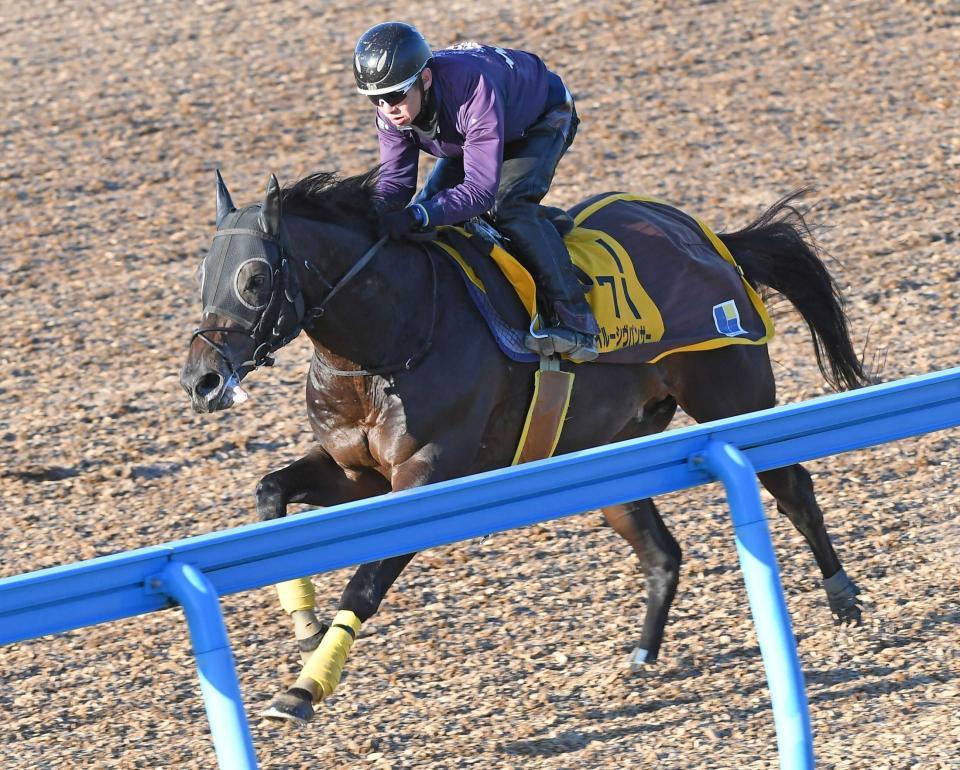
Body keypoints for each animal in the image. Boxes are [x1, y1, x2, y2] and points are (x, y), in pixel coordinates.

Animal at [178, 166, 872, 720]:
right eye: (203, 275)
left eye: (255, 278)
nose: (202, 380)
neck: (387, 343)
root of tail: (712, 242)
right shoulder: (356, 474)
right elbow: (269, 491)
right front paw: (303, 625)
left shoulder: (422, 479)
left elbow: (364, 586)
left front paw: (305, 688)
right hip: (611, 452)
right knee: (662, 551)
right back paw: (641, 656)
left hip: (733, 396)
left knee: (792, 489)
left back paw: (843, 600)